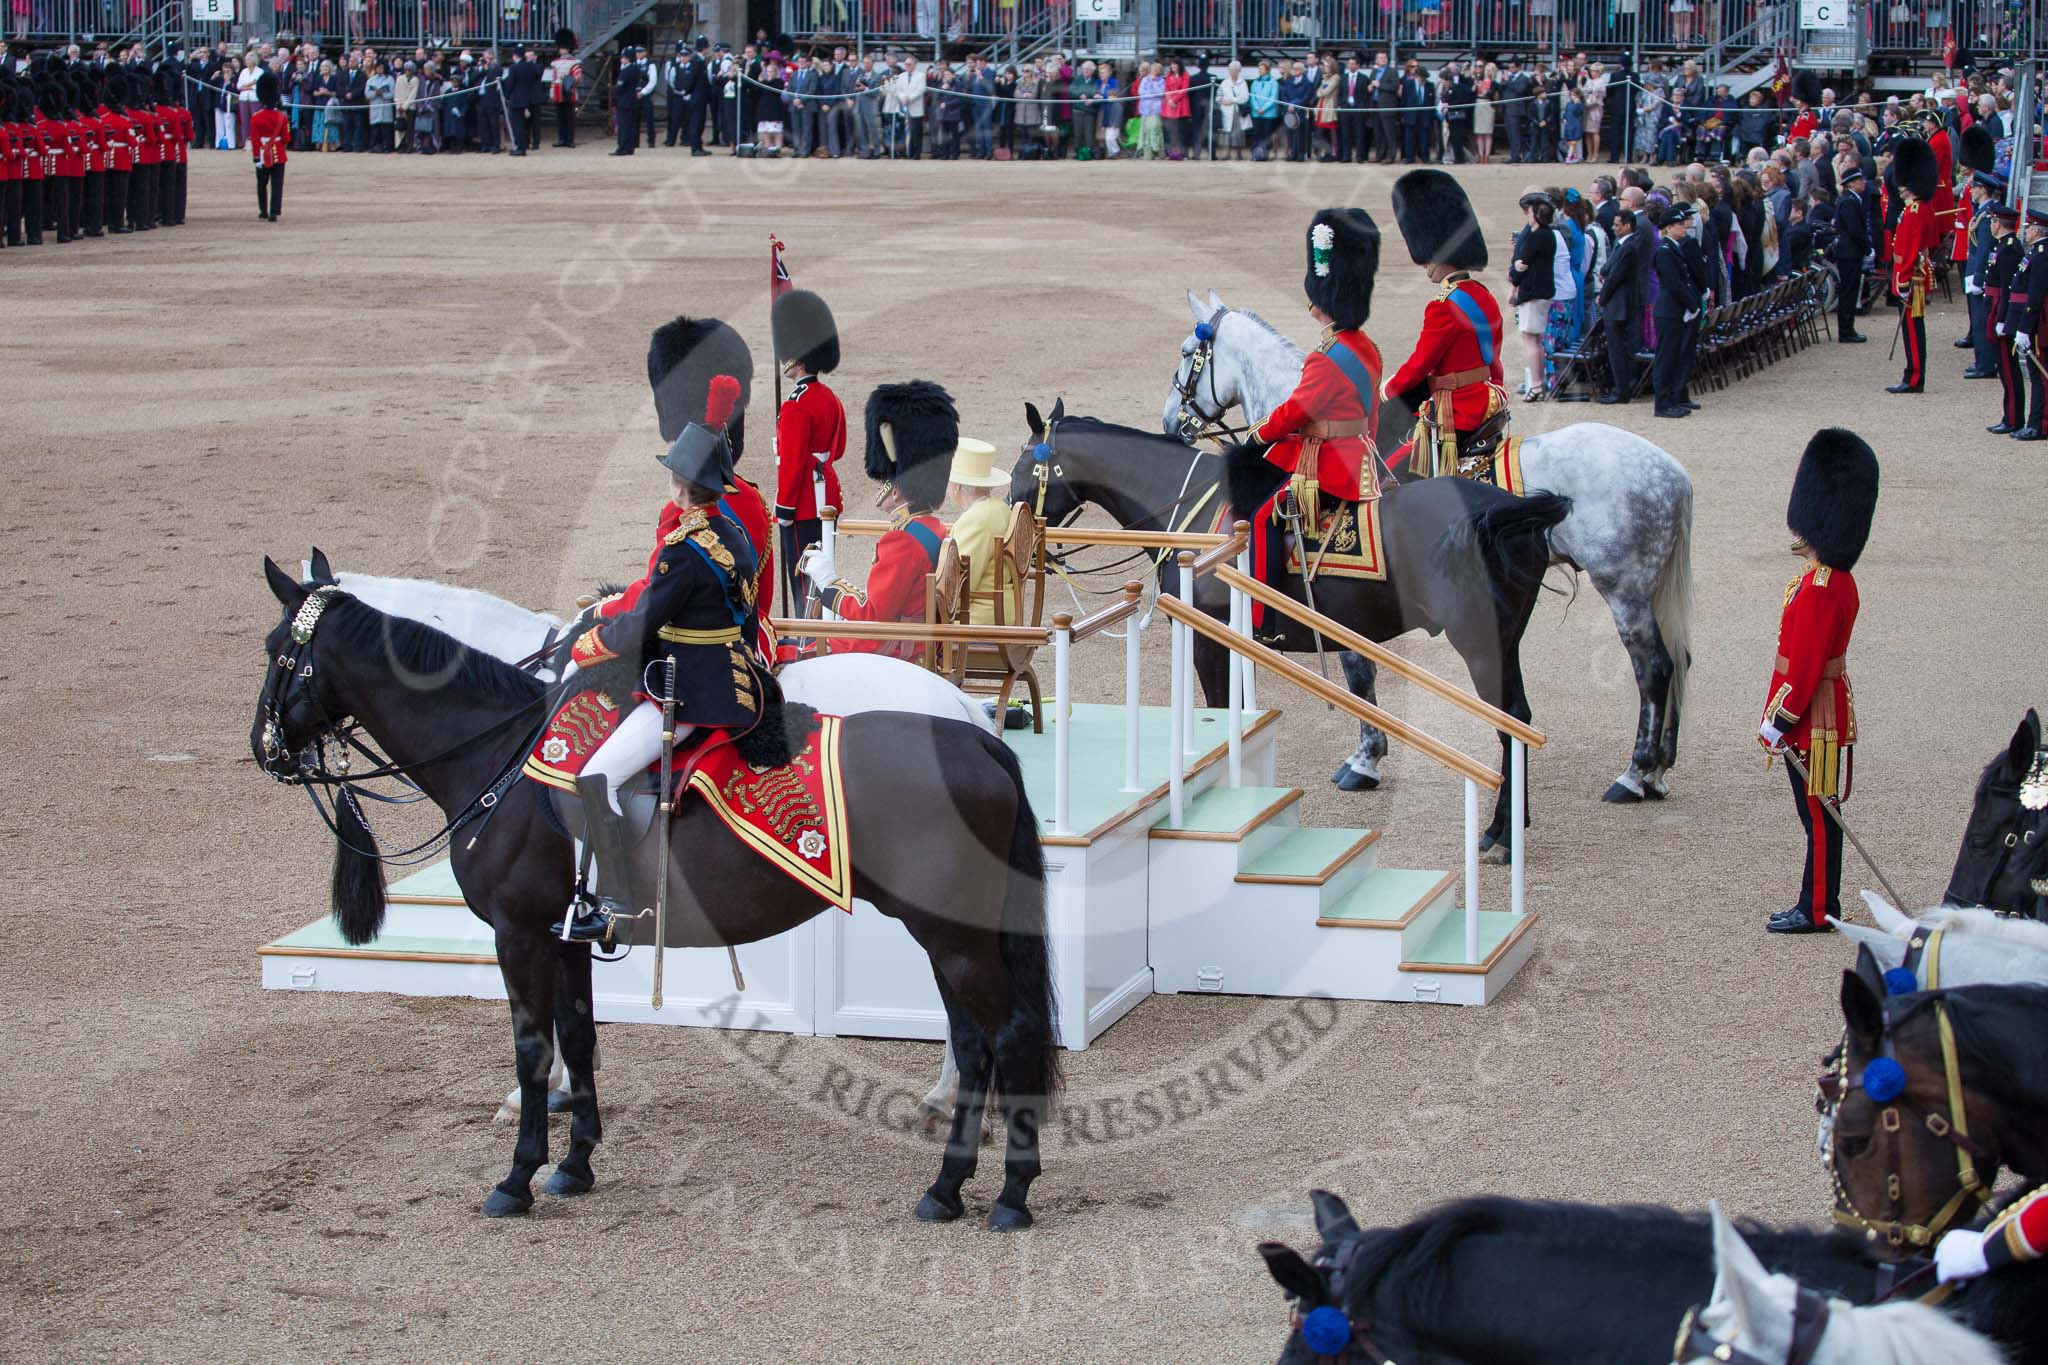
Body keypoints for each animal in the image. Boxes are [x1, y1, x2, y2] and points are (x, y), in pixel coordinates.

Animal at [251, 560, 1056, 1236]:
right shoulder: (566, 933)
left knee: (1008, 1034)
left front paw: (517, 1176)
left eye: (277, 651)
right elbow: (579, 1036)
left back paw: (1009, 1194)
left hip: (950, 934)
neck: (503, 752)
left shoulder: (519, 932)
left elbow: (532, 1049)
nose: (265, 748)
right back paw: (947, 1185)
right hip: (947, 931)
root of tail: (970, 731)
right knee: (975, 1041)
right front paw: (575, 1163)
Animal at [1011, 403, 1564, 855]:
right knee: (1520, 718)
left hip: (1479, 644)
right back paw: (1511, 825)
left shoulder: (1208, 638)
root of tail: (1504, 508)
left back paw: (1499, 834)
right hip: (1504, 642)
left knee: (1508, 723)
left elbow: (1219, 710)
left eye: (1021, 470)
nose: (1017, 527)